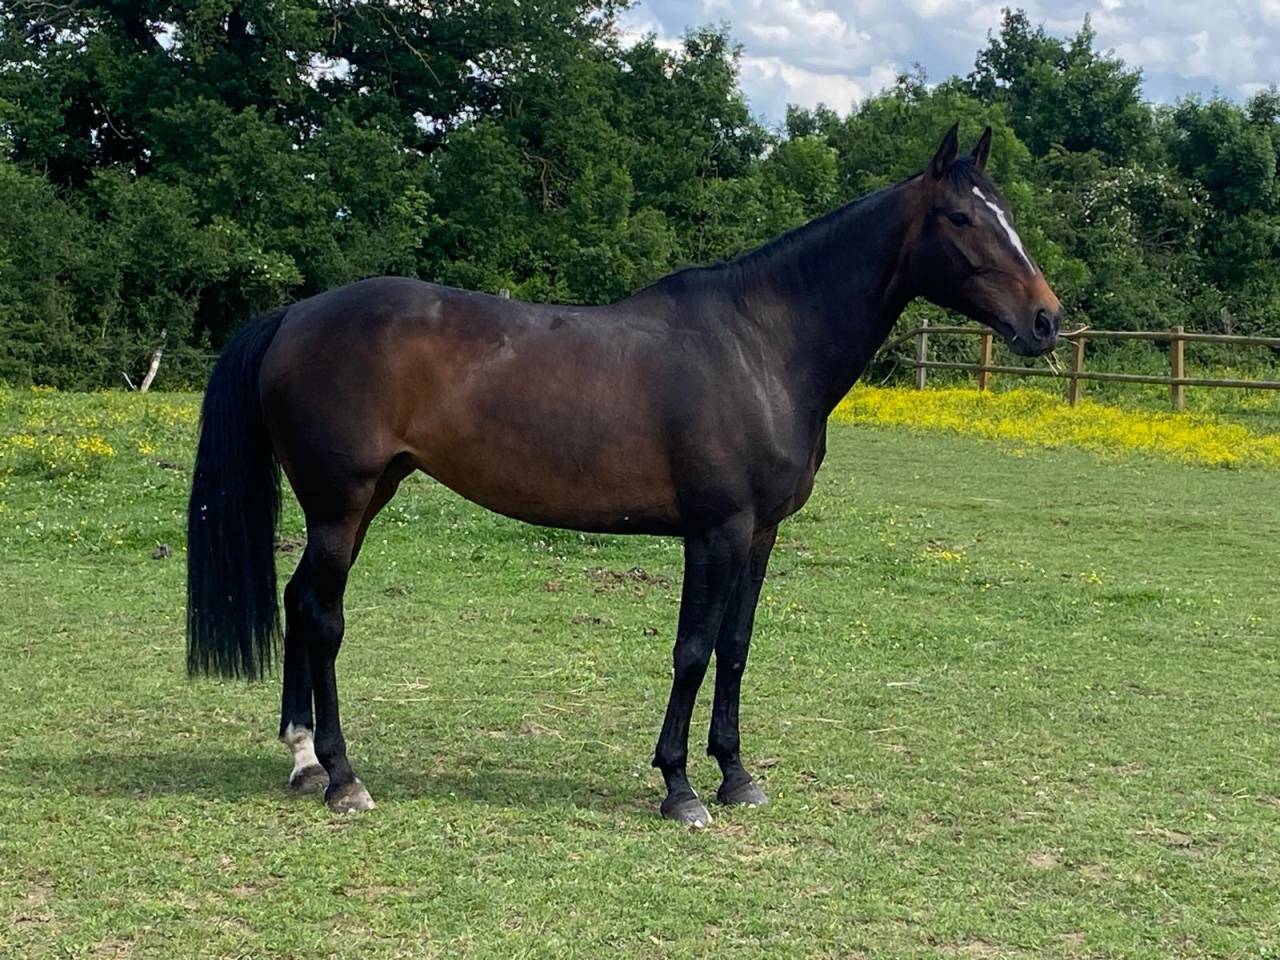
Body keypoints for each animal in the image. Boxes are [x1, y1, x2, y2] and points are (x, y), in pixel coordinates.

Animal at [187, 125, 1061, 826]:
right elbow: (692, 650)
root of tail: (296, 315)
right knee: (322, 615)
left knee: (298, 602)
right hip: (342, 506)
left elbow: (736, 647)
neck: (762, 347)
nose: (1046, 320)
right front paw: (680, 788)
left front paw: (737, 776)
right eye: (961, 218)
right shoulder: (715, 532)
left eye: (1008, 214)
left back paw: (303, 757)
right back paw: (342, 776)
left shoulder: (760, 535)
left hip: (365, 499)